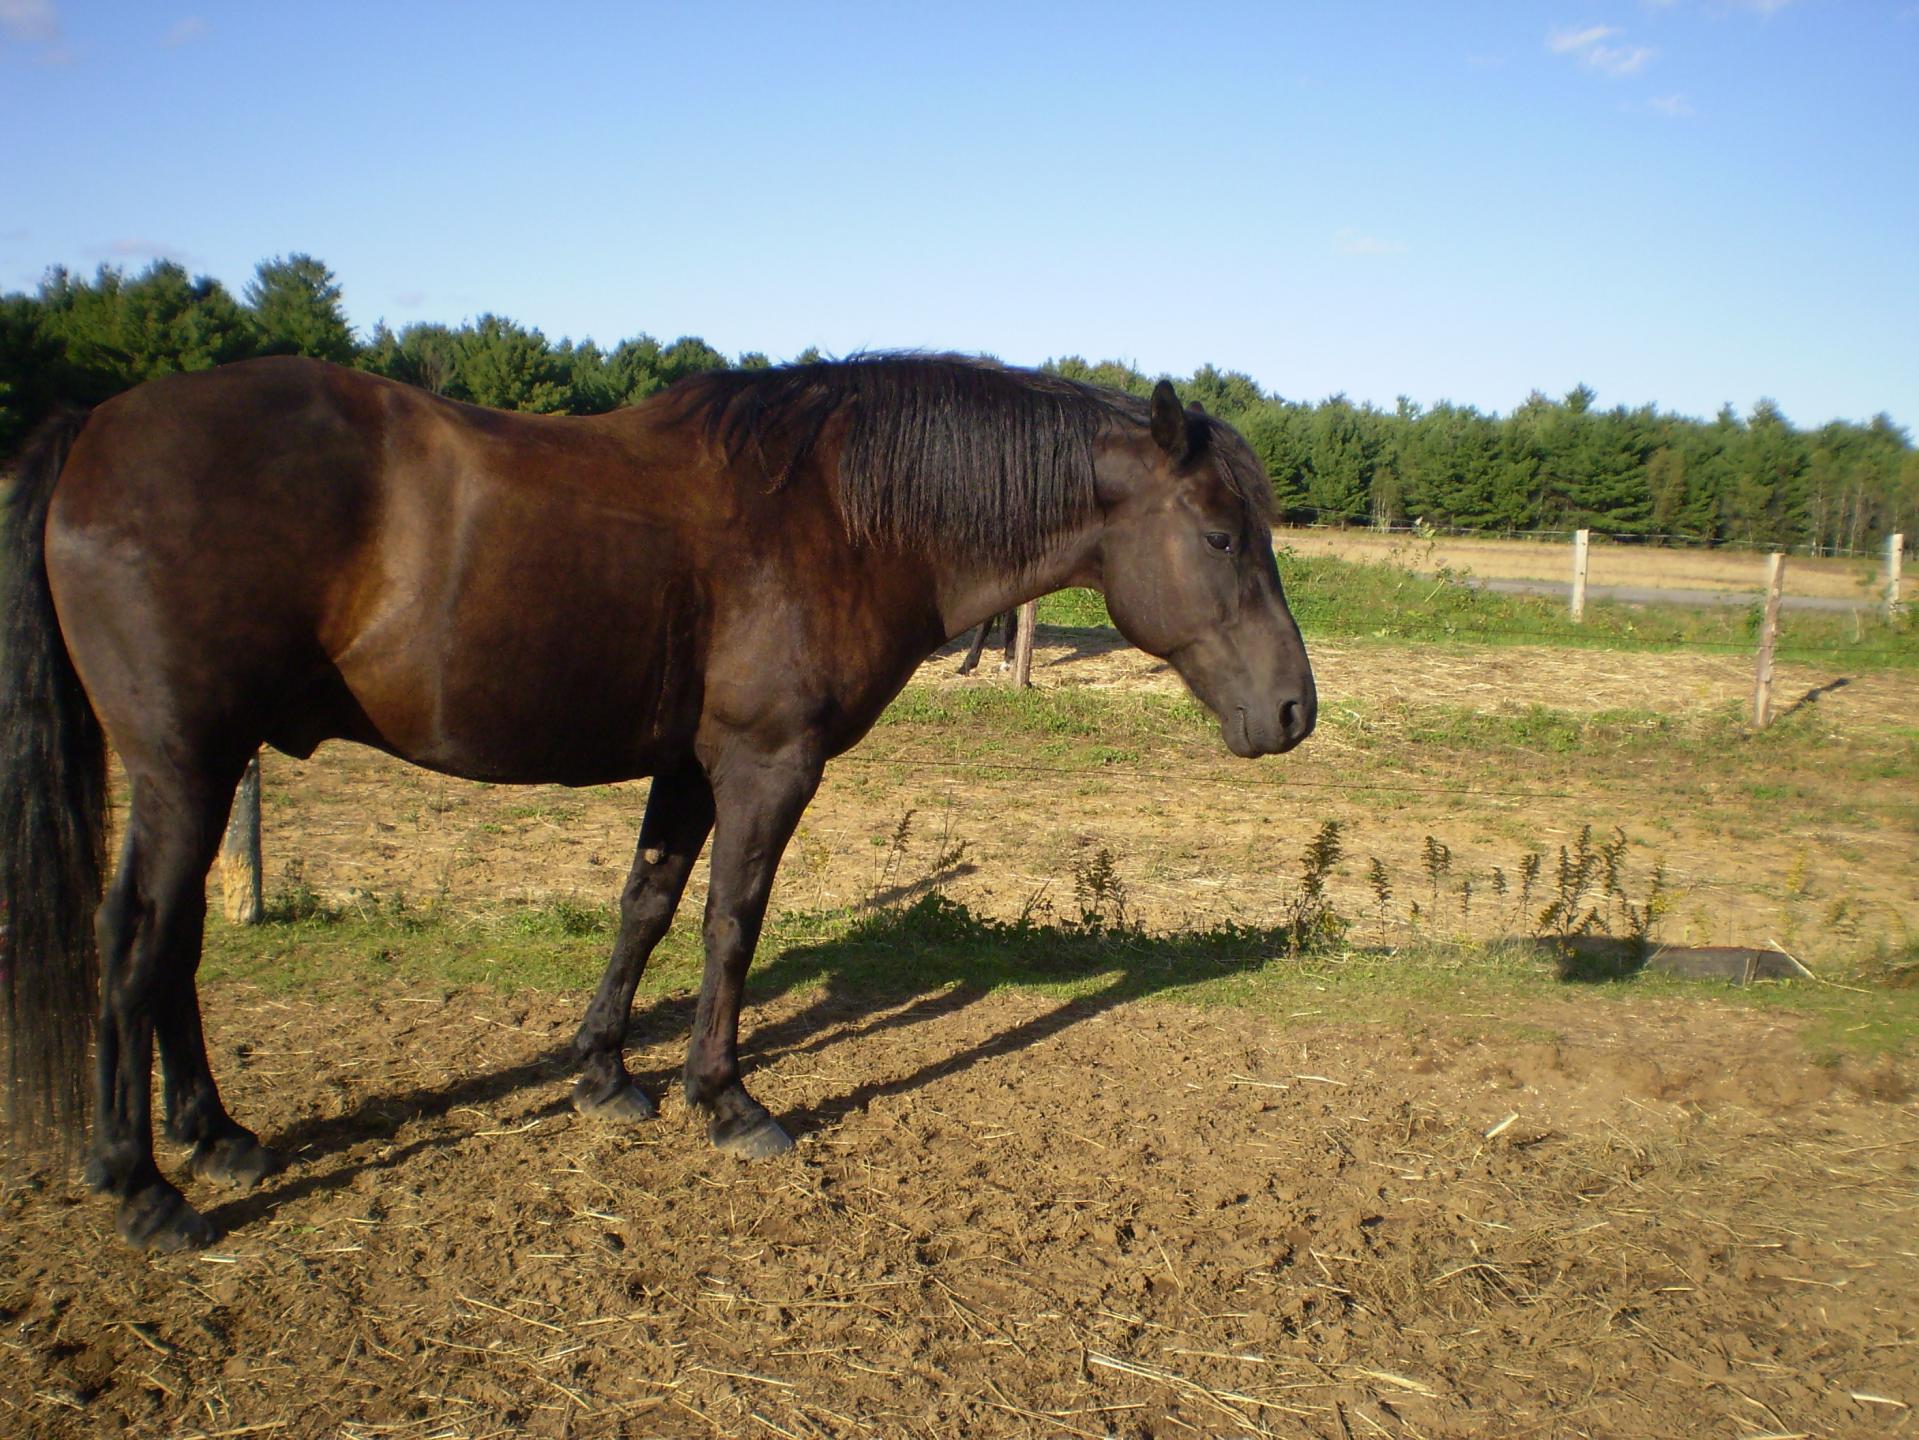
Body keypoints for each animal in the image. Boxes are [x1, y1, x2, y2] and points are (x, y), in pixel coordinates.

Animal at [0, 353, 1312, 1251]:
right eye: (1217, 534)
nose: (1295, 711)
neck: (837, 513)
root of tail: (95, 428)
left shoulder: (688, 767)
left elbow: (643, 907)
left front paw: (604, 1077)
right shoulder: (766, 766)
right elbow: (730, 925)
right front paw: (723, 1100)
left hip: (201, 771)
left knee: (169, 945)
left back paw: (216, 1137)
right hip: (185, 768)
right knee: (137, 942)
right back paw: (143, 1185)